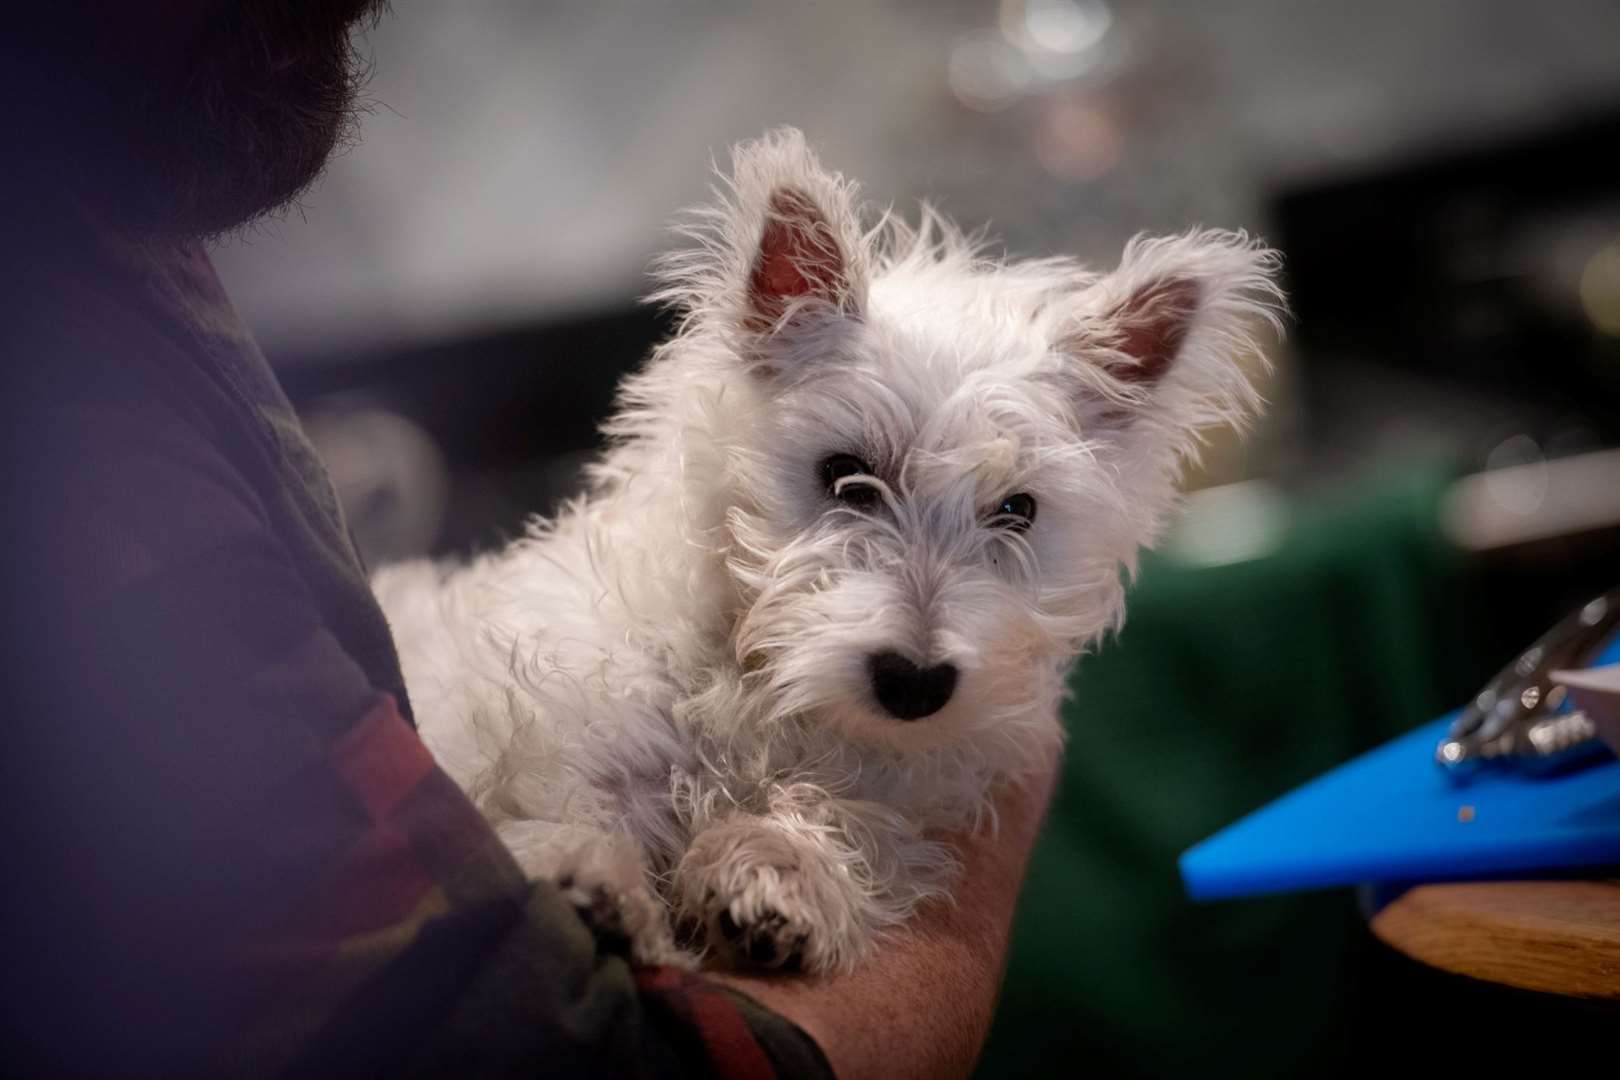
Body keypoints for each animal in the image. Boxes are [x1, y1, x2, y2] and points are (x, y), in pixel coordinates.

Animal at [372, 131, 1283, 977]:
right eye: (845, 475)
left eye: (1017, 510)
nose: (915, 684)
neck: (761, 683)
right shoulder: (566, 741)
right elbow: (568, 811)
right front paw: (592, 885)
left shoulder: (903, 793)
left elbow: (841, 818)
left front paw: (778, 879)